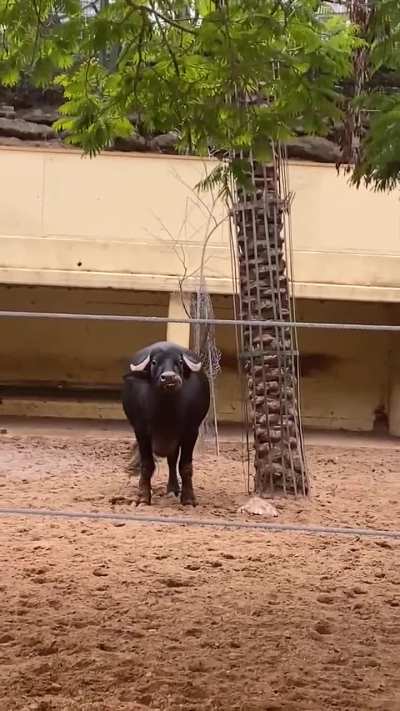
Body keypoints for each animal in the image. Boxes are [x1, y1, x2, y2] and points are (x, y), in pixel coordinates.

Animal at [122, 341, 210, 506]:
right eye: (154, 362)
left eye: (180, 362)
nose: (169, 378)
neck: (167, 412)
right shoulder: (141, 432)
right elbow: (147, 465)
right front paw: (143, 497)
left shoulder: (191, 432)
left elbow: (185, 466)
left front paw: (189, 498)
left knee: (172, 460)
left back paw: (173, 489)